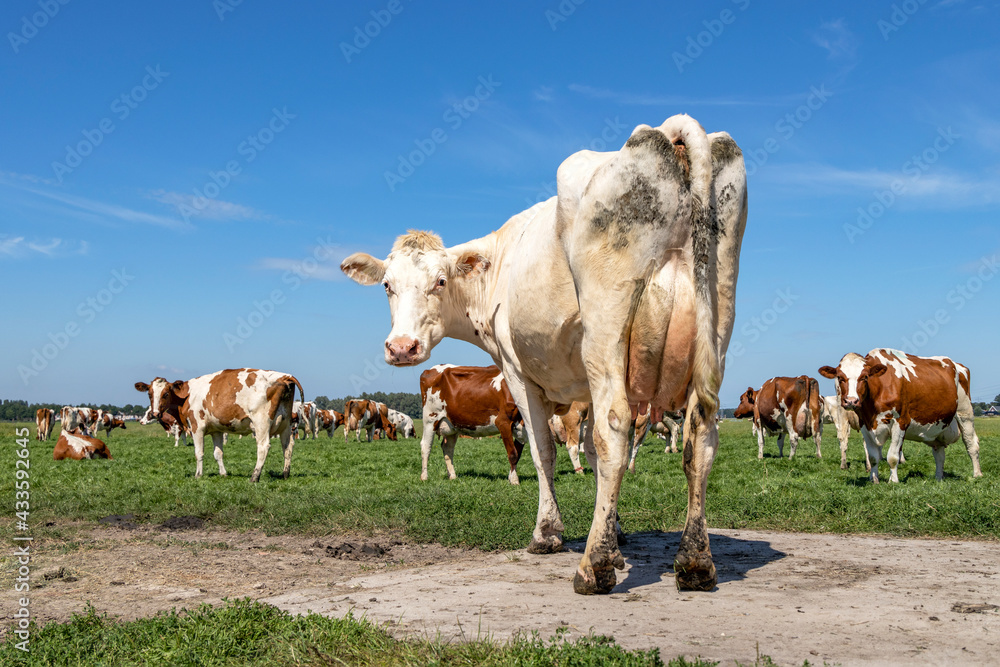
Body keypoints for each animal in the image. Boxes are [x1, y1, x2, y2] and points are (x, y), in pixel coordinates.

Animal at [135, 369, 304, 482]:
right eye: (150, 394)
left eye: (165, 393)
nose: (155, 413)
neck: (187, 396)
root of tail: (284, 376)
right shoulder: (216, 430)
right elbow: (218, 453)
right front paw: (223, 474)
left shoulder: (197, 427)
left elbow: (199, 453)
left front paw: (198, 475)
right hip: (285, 424)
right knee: (288, 446)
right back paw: (285, 474)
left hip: (261, 422)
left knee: (263, 448)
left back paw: (254, 476)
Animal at [342, 114, 747, 593]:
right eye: (387, 285)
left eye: (440, 281)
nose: (401, 347)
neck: (496, 263)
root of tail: (669, 131)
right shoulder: (582, 388)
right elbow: (587, 454)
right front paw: (616, 534)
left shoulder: (520, 375)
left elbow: (544, 452)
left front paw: (550, 533)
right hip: (716, 324)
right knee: (700, 435)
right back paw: (695, 562)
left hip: (608, 326)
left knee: (616, 428)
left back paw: (594, 567)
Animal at [819, 349, 982, 483]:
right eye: (840, 377)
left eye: (864, 377)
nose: (851, 401)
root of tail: (957, 364)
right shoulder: (865, 425)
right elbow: (873, 457)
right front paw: (874, 480)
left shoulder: (900, 422)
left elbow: (892, 456)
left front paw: (893, 481)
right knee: (939, 453)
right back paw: (938, 477)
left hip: (965, 412)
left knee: (971, 444)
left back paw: (977, 474)